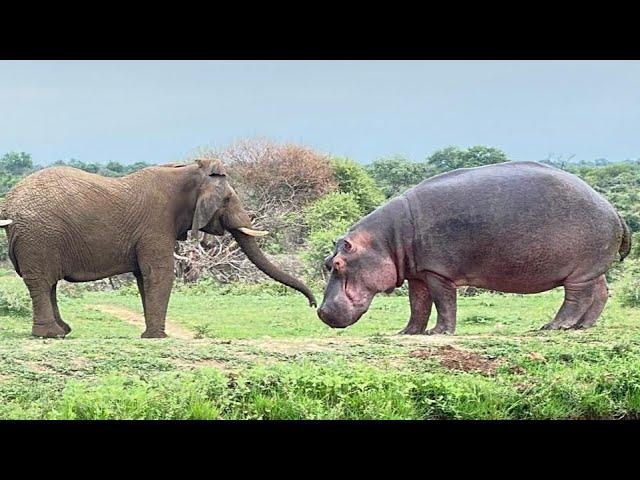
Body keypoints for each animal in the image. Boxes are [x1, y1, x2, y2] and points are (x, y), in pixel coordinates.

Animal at [0, 158, 316, 338]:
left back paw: (63, 331)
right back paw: (51, 335)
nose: (312, 306)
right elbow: (159, 274)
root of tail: (9, 202)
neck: (186, 171)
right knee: (42, 282)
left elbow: (145, 277)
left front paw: (150, 335)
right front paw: (157, 338)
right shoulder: (155, 225)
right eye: (226, 200)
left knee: (48, 284)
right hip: (39, 236)